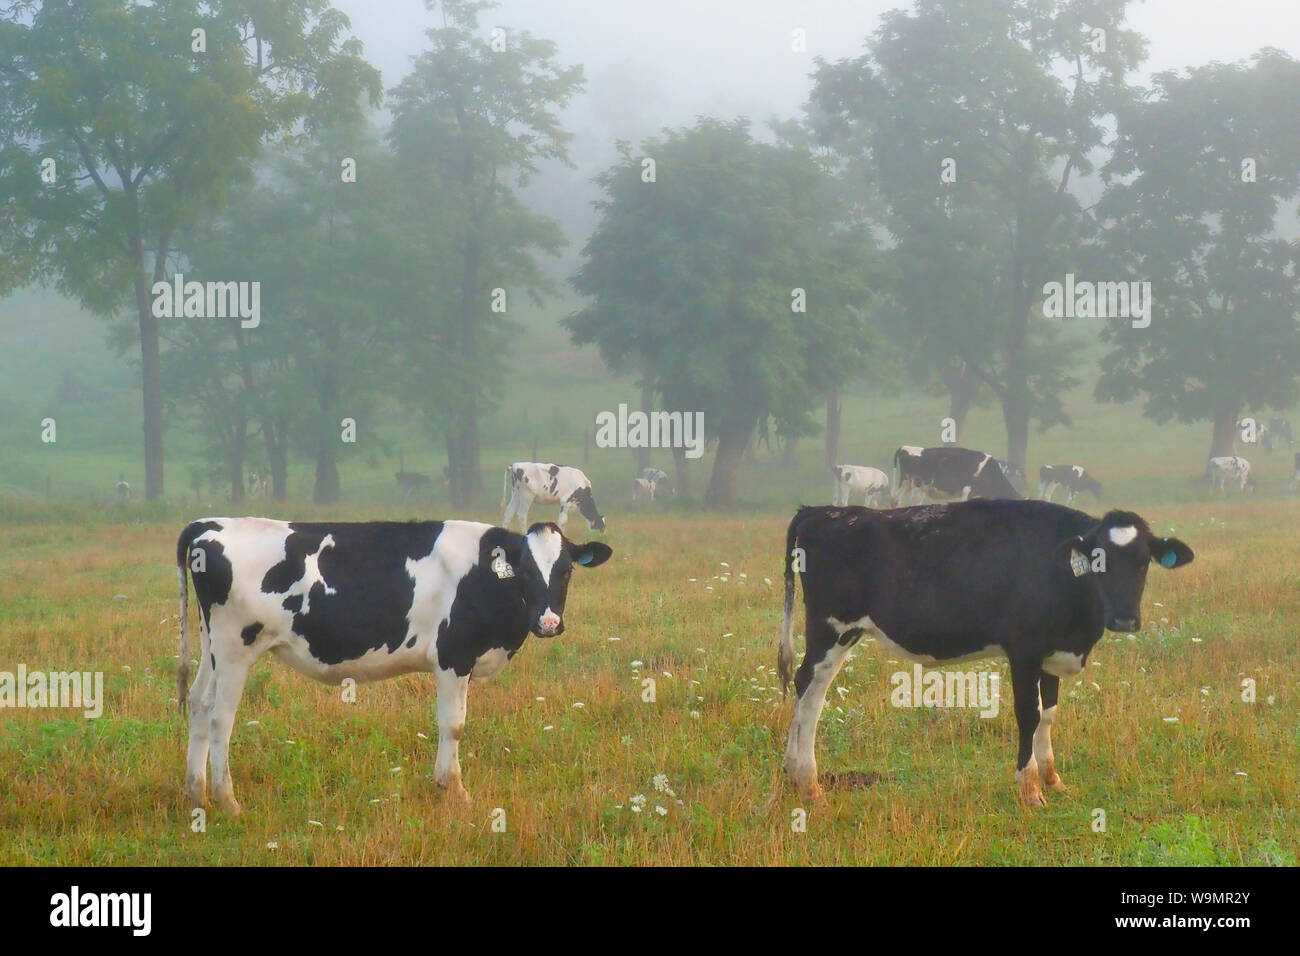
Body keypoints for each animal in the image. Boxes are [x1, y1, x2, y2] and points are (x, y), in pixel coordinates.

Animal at [174, 515, 613, 816]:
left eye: (566, 570)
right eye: (524, 571)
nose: (549, 623)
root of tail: (209, 524)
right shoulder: (454, 657)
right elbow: (453, 725)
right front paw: (453, 790)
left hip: (212, 645)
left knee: (198, 703)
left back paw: (196, 794)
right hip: (235, 648)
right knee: (221, 717)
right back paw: (228, 801)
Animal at [774, 502, 1190, 806]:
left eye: (1144, 561)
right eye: (1099, 560)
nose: (1124, 619)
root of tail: (822, 510)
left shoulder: (1051, 652)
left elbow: (1049, 714)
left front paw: (1052, 779)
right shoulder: (1023, 649)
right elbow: (1029, 714)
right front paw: (1029, 789)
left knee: (805, 687)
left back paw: (794, 776)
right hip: (832, 628)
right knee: (811, 691)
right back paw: (808, 784)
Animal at [889, 447, 1019, 509]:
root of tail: (905, 447)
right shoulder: (968, 490)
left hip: (906, 483)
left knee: (896, 499)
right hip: (919, 487)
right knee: (913, 503)